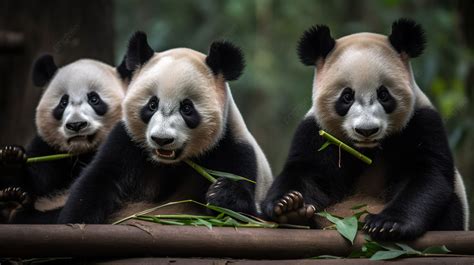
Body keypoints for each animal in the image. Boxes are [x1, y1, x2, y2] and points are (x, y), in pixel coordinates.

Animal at [0, 54, 130, 223]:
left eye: (94, 99)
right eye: (63, 102)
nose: (76, 124)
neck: (81, 153)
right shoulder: (48, 147)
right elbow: (35, 182)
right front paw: (11, 159)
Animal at [57, 31, 272, 223]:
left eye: (187, 108)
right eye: (152, 104)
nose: (162, 139)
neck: (170, 164)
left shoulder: (232, 147)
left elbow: (246, 216)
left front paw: (223, 194)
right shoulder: (126, 142)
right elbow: (98, 181)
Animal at [262, 17, 470, 238]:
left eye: (383, 94)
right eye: (347, 96)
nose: (367, 130)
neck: (367, 149)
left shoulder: (422, 122)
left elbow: (426, 174)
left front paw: (388, 223)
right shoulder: (316, 132)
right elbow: (307, 172)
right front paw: (289, 206)